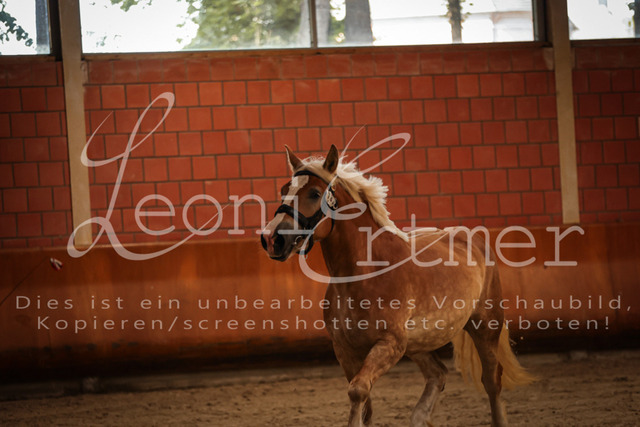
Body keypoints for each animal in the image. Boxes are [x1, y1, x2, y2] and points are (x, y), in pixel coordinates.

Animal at [260, 144, 534, 426]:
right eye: (284, 190)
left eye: (314, 193)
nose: (272, 239)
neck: (364, 273)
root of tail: (472, 237)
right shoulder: (345, 350)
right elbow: (365, 404)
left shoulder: (389, 344)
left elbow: (358, 390)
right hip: (419, 343)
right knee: (438, 373)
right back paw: (420, 416)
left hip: (485, 326)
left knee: (491, 380)